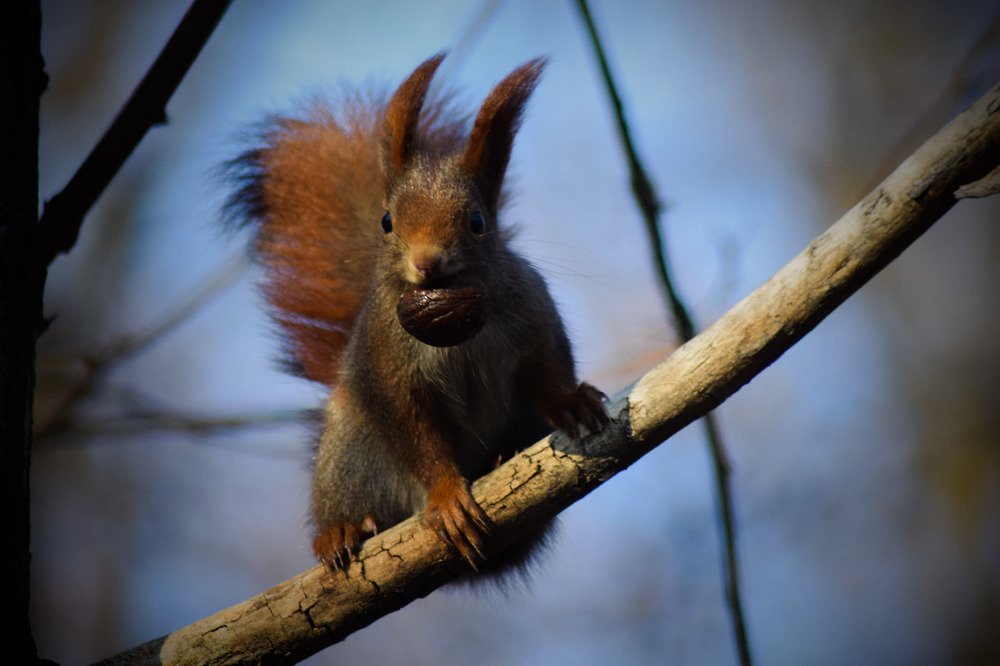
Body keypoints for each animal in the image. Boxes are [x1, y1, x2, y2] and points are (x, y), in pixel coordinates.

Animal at [226, 53, 608, 575]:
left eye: (478, 222)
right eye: (387, 221)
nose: (427, 262)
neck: (456, 328)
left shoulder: (534, 315)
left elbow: (548, 369)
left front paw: (573, 400)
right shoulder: (389, 363)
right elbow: (416, 433)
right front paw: (446, 497)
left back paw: (499, 461)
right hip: (349, 445)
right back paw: (342, 531)